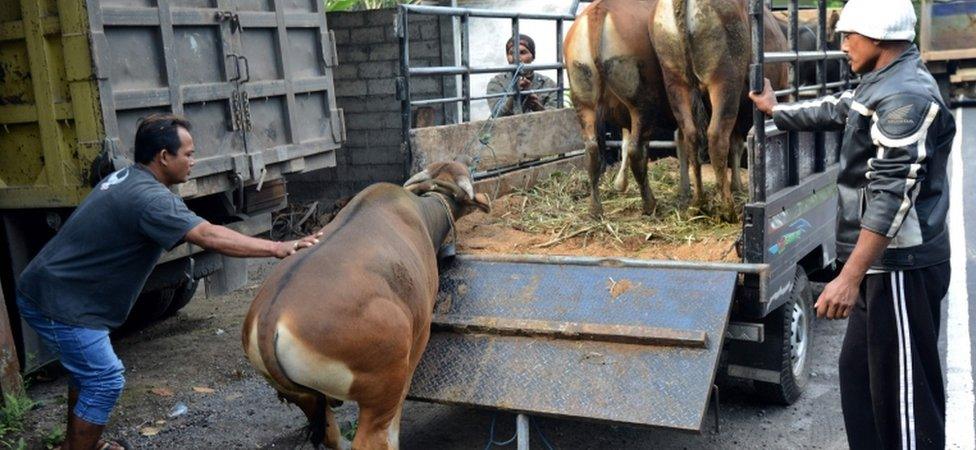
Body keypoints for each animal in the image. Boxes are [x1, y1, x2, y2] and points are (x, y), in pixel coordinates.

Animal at [244, 160, 488, 448]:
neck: (423, 213)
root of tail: (270, 320)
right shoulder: (419, 337)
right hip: (383, 388)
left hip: (306, 398)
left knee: (330, 435)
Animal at [564, 0, 672, 218]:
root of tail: (599, 11)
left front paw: (620, 184)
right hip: (642, 103)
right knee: (636, 151)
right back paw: (650, 204)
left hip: (583, 103)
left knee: (592, 150)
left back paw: (595, 208)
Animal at [652, 0, 788, 220]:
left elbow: (736, 144)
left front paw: (736, 186)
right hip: (724, 81)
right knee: (716, 138)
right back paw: (727, 209)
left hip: (675, 81)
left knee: (691, 136)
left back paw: (698, 203)